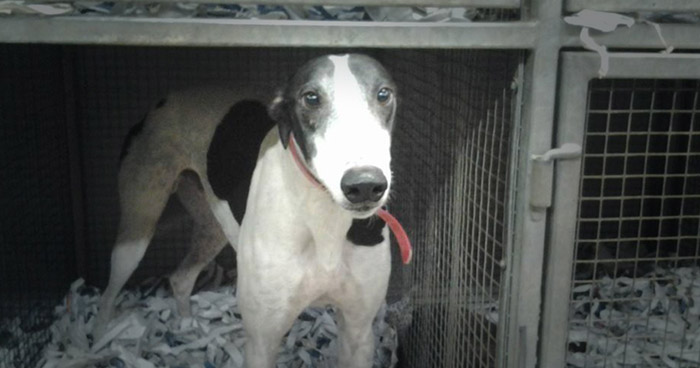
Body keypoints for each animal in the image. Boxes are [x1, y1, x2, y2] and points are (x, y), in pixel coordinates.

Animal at [93, 53, 410, 366]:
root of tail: (165, 100)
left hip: (212, 228)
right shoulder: (262, 338)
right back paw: (99, 340)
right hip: (137, 227)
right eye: (310, 98)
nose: (365, 185)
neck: (324, 219)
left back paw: (186, 327)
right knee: (109, 295)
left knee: (180, 279)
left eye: (384, 94)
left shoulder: (358, 331)